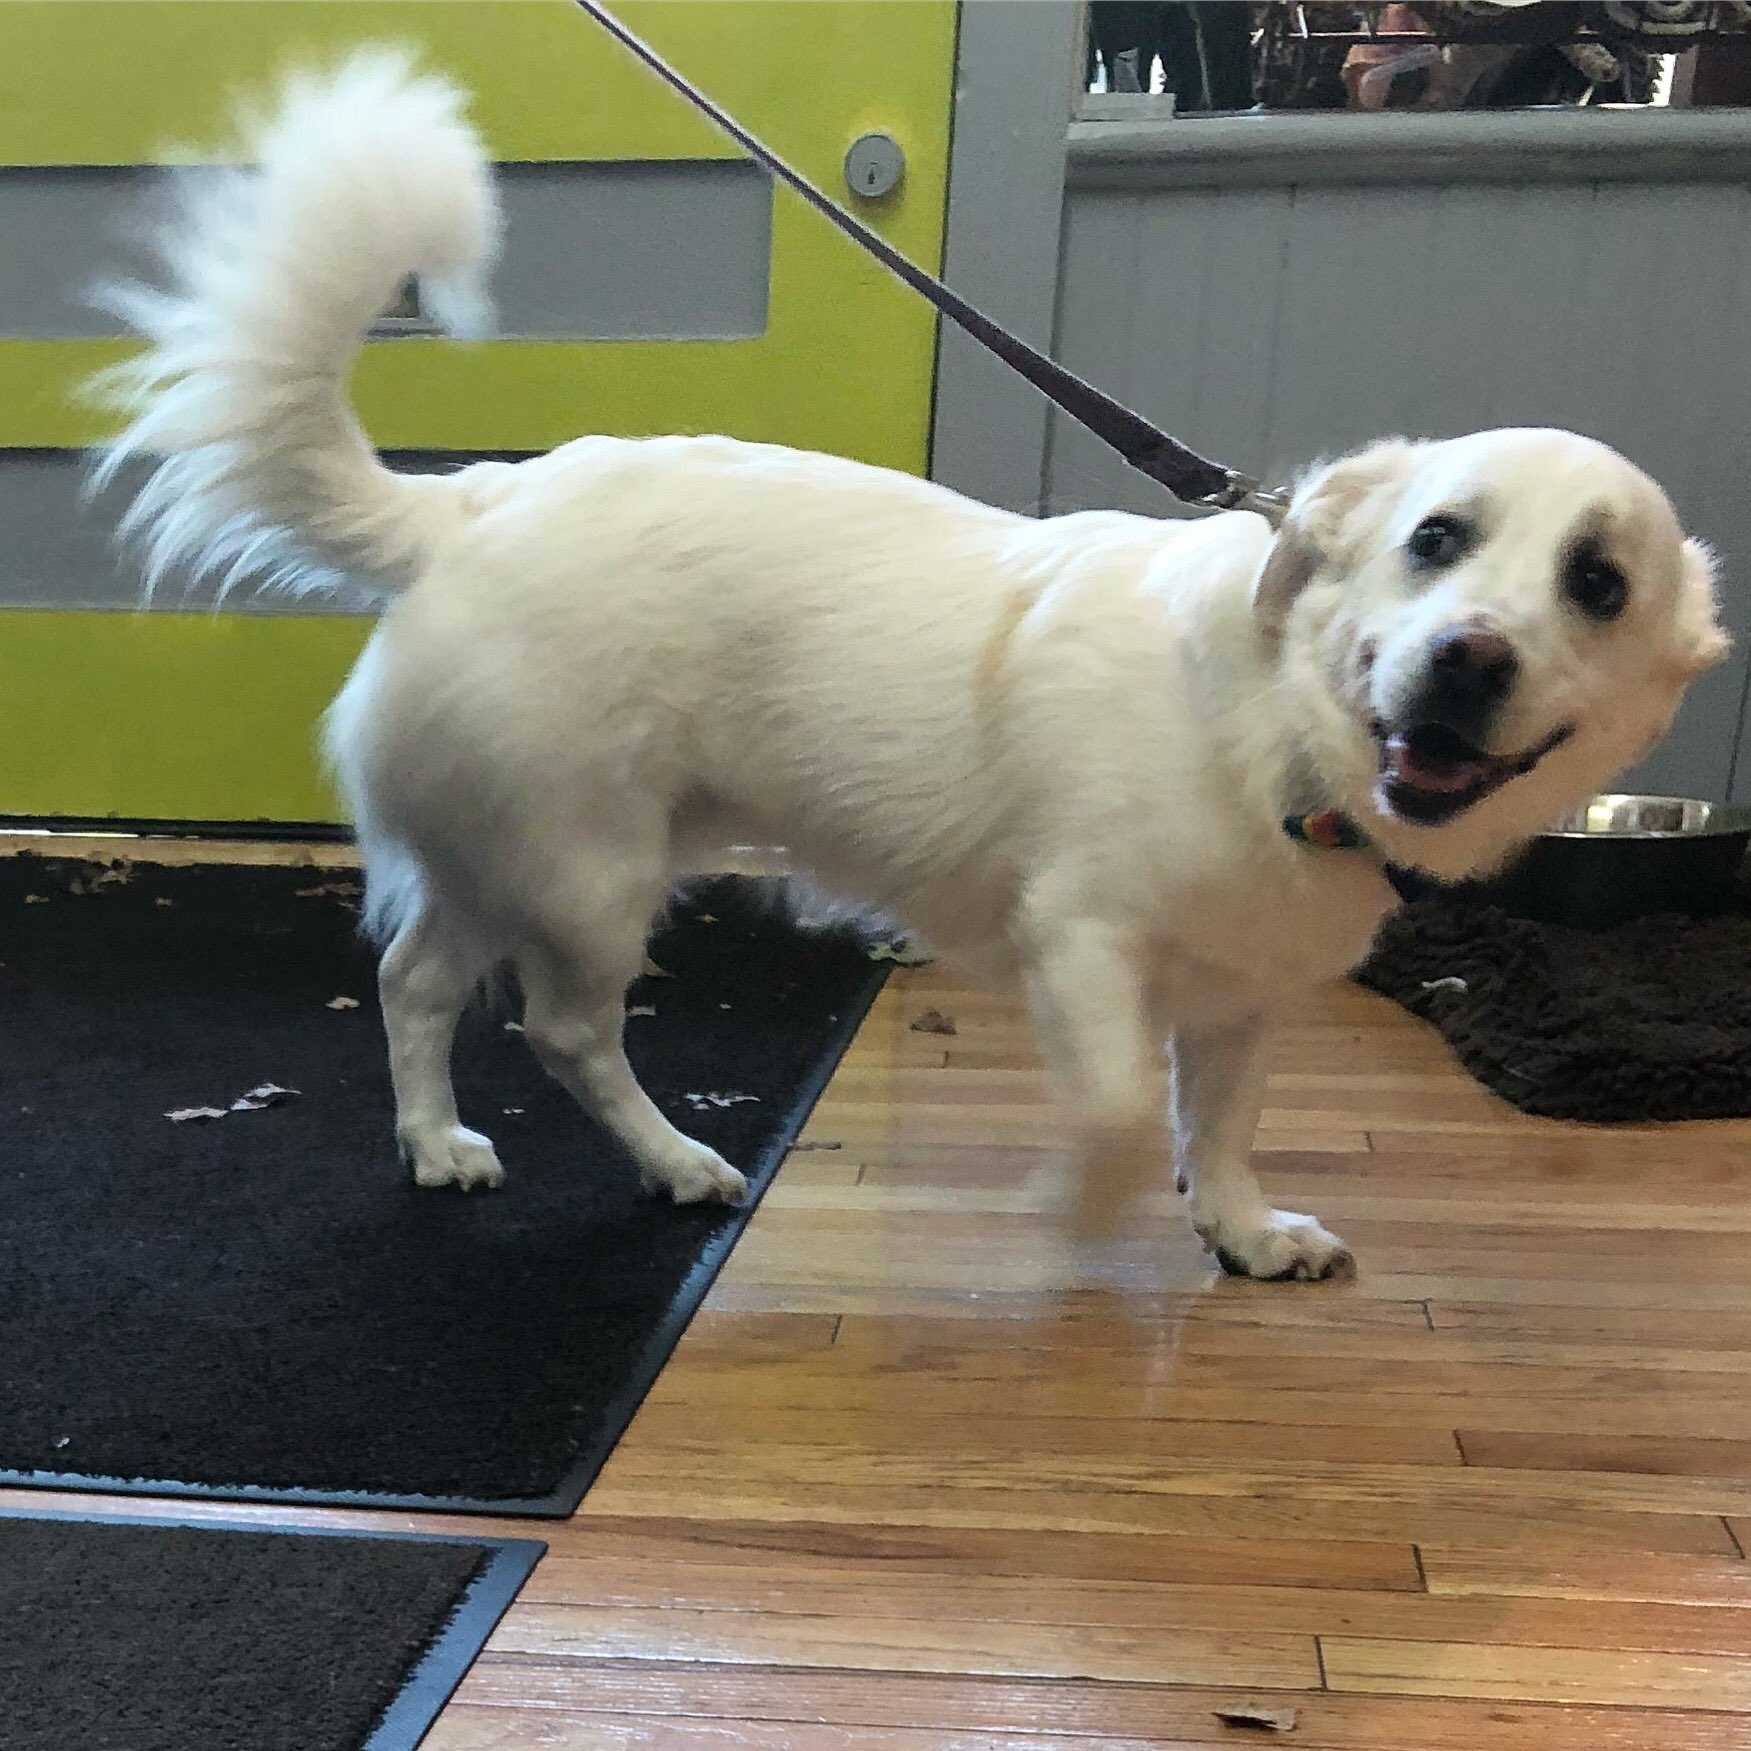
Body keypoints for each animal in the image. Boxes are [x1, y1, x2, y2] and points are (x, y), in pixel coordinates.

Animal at [92, 54, 1722, 1281]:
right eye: (1433, 538)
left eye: (1595, 585)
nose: (1463, 661)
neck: (1274, 730)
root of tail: (471, 506)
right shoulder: (1083, 940)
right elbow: (1119, 1109)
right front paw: (1081, 1207)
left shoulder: (1243, 999)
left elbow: (1220, 1121)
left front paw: (1243, 1228)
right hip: (585, 868)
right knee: (559, 1027)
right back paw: (674, 1157)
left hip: (501, 855)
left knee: (414, 980)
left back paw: (434, 1142)